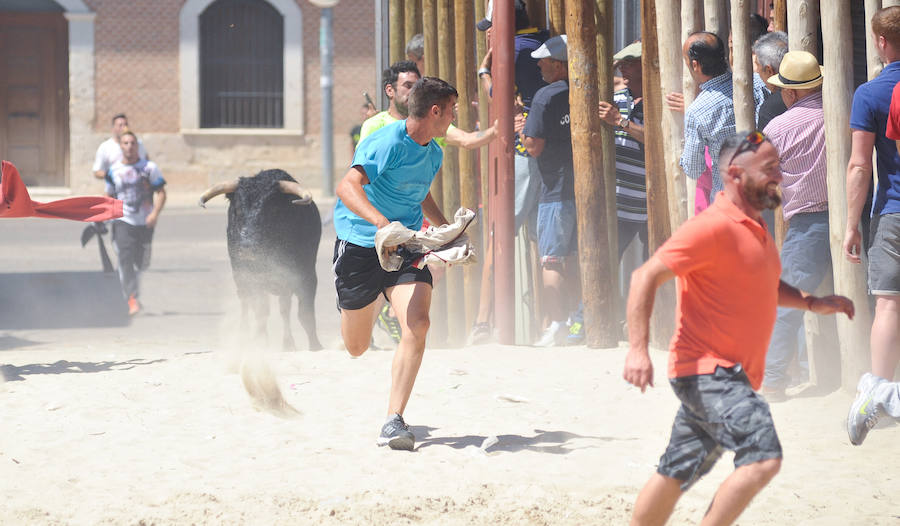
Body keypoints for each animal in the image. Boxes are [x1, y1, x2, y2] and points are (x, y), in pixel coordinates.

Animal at [200, 170, 324, 350]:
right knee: (246, 303)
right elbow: (261, 309)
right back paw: (244, 335)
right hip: (240, 278)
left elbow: (300, 313)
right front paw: (261, 340)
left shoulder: (302, 277)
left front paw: (307, 345)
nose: (246, 246)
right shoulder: (252, 277)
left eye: (273, 210)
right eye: (237, 209)